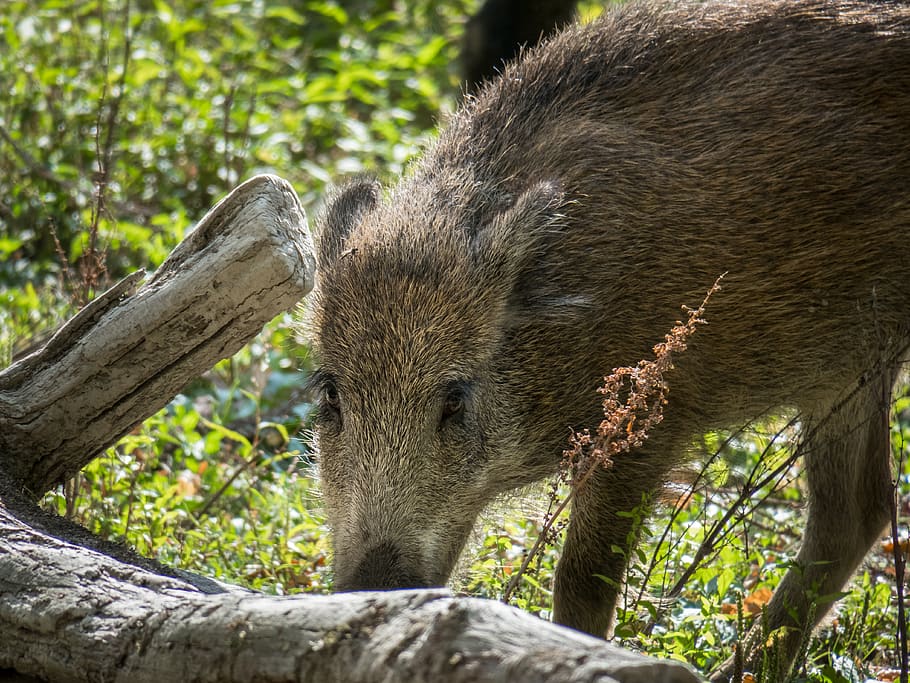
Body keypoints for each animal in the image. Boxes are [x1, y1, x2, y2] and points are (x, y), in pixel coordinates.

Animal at [307, 0, 910, 678]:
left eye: (455, 397)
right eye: (330, 393)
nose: (371, 590)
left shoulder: (651, 422)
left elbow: (583, 577)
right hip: (849, 367)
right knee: (856, 511)